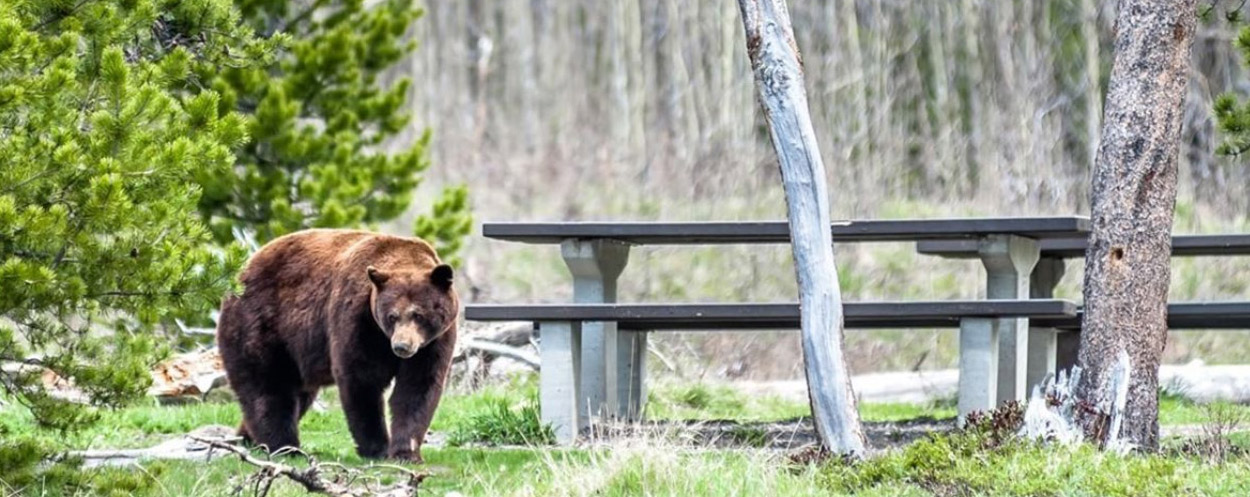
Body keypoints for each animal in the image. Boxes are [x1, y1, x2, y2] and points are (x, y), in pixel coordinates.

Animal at [216, 228, 460, 462]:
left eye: (418, 314)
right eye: (392, 316)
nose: (401, 346)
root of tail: (242, 272)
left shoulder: (433, 342)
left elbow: (417, 388)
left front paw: (406, 452)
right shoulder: (358, 320)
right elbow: (362, 379)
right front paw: (377, 448)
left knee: (297, 394)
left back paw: (248, 438)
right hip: (261, 323)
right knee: (268, 386)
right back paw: (285, 447)